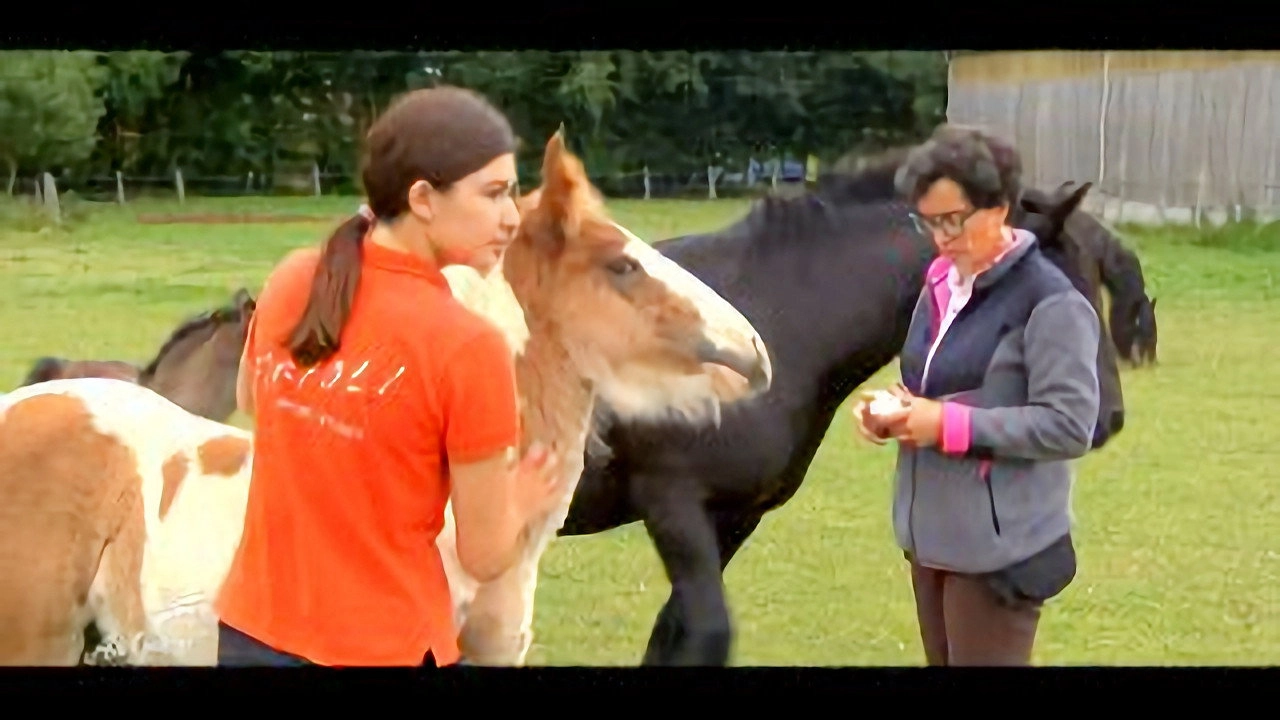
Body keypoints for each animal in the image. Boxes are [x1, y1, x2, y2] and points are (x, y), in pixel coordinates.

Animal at [555, 152, 1128, 667]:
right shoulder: (672, 501)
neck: (769, 316)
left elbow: (674, 634)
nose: (1108, 418)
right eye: (1068, 289)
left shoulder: (733, 514)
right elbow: (707, 632)